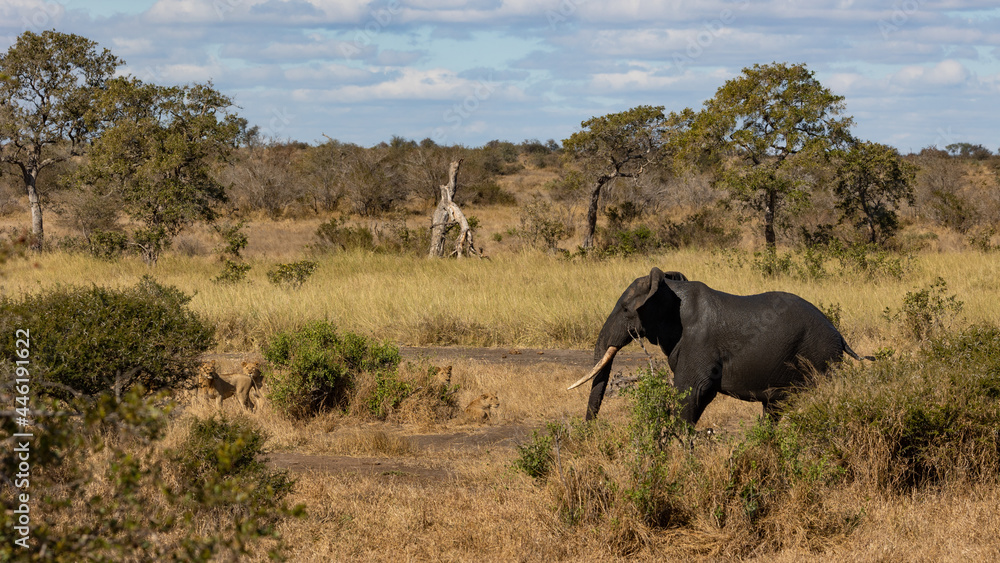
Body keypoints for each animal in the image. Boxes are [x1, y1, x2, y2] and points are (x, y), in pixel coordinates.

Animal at [568, 268, 871, 424]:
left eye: (625, 309)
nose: (591, 430)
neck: (671, 291)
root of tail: (840, 336)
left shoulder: (698, 343)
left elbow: (690, 393)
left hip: (820, 357)